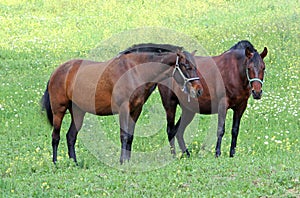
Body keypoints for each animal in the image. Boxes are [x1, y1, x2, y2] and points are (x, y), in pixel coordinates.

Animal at [41, 43, 203, 164]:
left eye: (195, 66)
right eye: (186, 66)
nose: (199, 90)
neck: (134, 71)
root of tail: (57, 71)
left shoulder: (136, 110)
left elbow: (130, 136)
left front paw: (128, 162)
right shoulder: (123, 109)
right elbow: (123, 136)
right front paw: (122, 162)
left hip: (78, 112)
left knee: (71, 136)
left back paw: (74, 163)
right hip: (59, 111)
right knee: (56, 136)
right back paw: (55, 163)